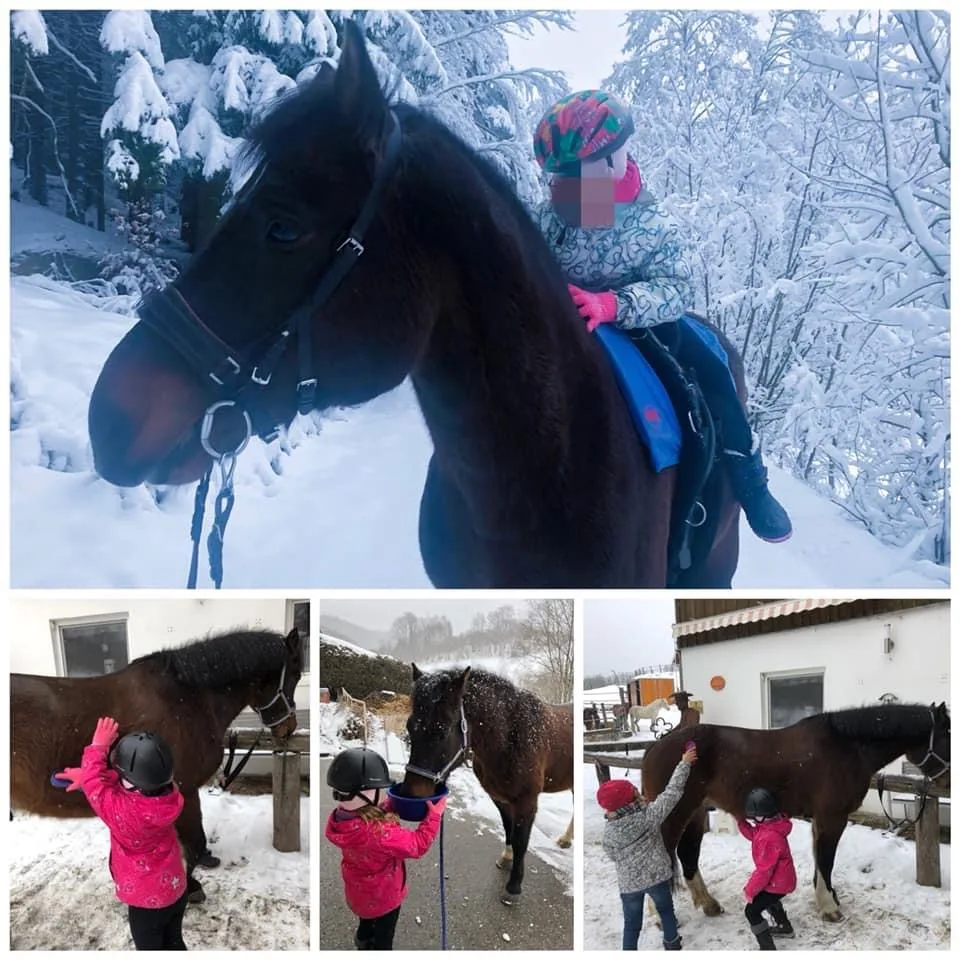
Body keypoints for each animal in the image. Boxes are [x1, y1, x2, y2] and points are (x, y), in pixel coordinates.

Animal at [11, 628, 303, 903]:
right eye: (295, 675)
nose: (289, 728)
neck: (186, 698)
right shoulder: (184, 789)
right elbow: (193, 843)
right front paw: (191, 888)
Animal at [397, 665, 574, 905]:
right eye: (409, 727)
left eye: (442, 730)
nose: (412, 794)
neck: (512, 737)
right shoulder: (500, 798)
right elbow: (508, 828)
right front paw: (506, 859)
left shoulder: (527, 802)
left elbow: (521, 841)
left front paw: (513, 887)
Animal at [641, 702, 950, 921]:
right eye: (947, 734)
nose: (947, 782)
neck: (847, 747)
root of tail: (655, 747)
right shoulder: (832, 818)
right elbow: (826, 860)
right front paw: (829, 907)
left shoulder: (820, 820)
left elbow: (820, 861)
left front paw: (828, 898)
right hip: (673, 815)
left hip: (695, 814)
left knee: (688, 854)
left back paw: (708, 904)